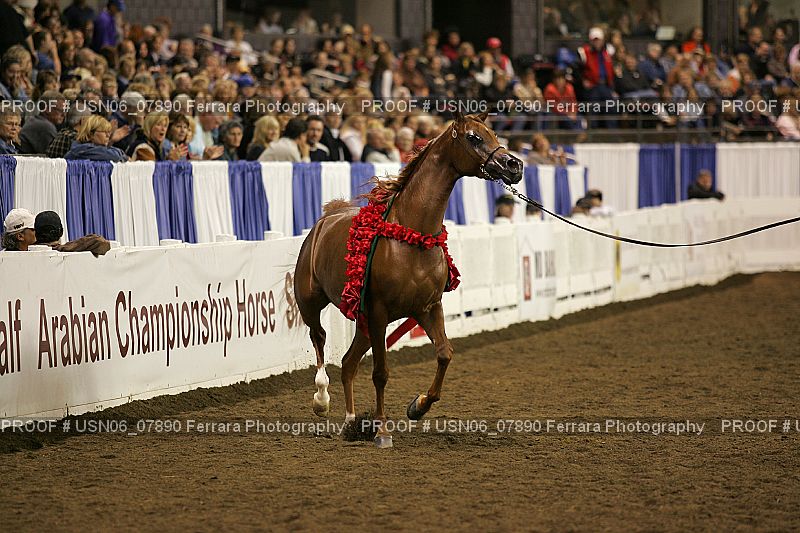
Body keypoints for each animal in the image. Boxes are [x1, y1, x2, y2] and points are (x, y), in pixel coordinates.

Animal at [293, 112, 523, 447]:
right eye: (473, 137)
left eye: (493, 133)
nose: (514, 165)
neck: (412, 235)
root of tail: (326, 218)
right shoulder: (379, 311)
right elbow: (380, 373)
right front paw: (383, 432)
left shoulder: (427, 308)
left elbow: (444, 354)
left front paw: (418, 406)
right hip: (312, 302)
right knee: (320, 339)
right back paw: (322, 400)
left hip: (364, 324)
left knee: (348, 364)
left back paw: (350, 422)